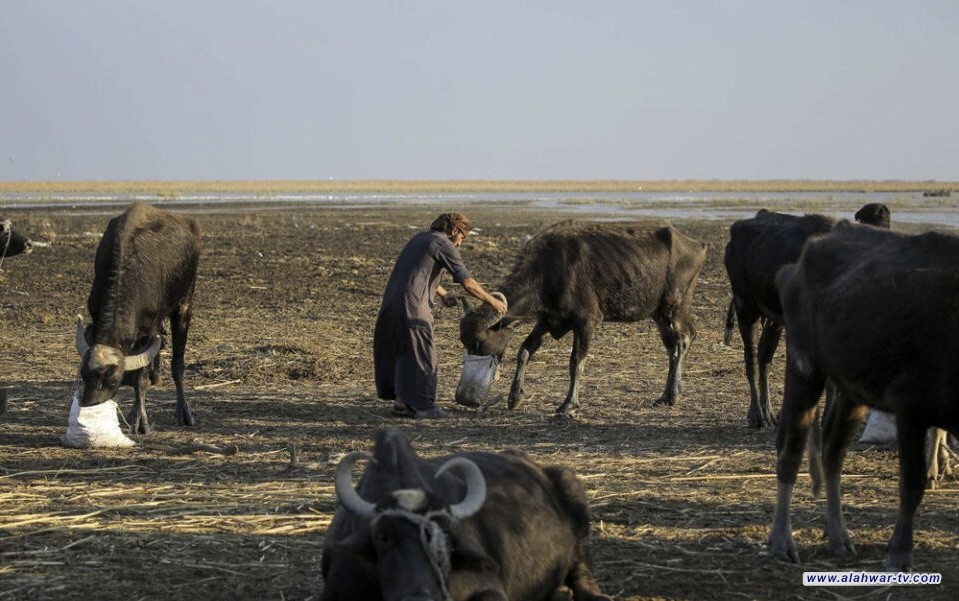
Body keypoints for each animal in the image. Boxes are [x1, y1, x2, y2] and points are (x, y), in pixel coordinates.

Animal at [76, 200, 202, 432]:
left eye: (113, 381)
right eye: (83, 375)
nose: (90, 407)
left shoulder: (148, 330)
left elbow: (139, 378)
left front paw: (140, 421)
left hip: (184, 304)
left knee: (177, 364)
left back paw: (184, 412)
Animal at [454, 218, 708, 414]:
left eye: (479, 342)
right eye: (464, 342)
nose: (464, 398)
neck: (549, 269)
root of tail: (696, 245)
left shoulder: (586, 322)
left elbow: (576, 361)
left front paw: (569, 404)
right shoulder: (549, 320)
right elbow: (525, 351)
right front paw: (514, 397)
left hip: (675, 305)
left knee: (685, 338)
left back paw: (673, 394)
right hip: (658, 313)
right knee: (671, 346)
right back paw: (665, 395)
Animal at [720, 205, 892, 426]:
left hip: (774, 321)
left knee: (765, 358)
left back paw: (768, 413)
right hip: (745, 308)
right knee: (751, 358)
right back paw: (757, 415)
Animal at [768, 223, 959, 568]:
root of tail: (794, 267)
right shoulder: (911, 411)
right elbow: (912, 485)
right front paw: (899, 553)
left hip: (852, 391)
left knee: (832, 453)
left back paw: (838, 535)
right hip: (804, 367)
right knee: (791, 452)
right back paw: (782, 541)